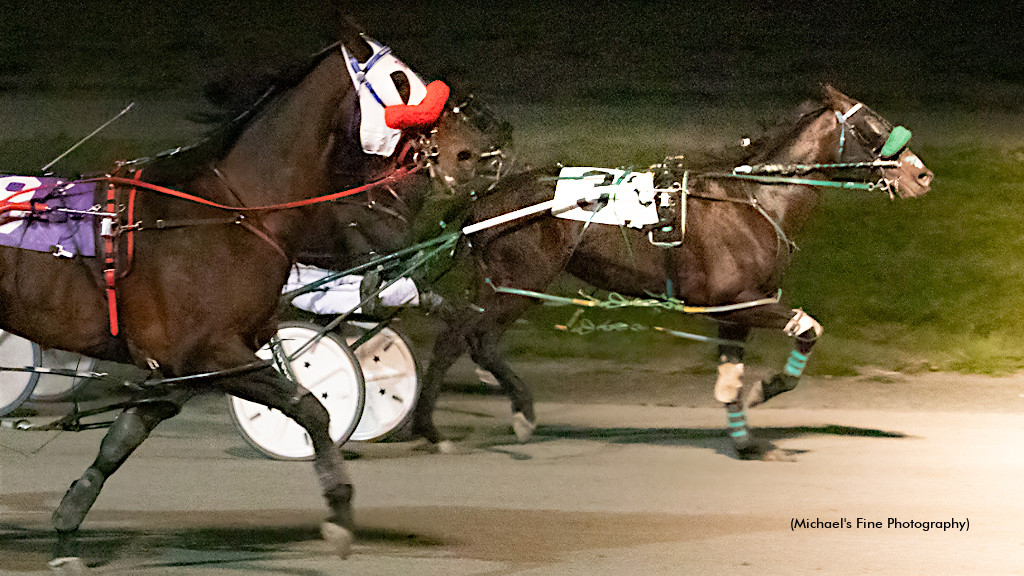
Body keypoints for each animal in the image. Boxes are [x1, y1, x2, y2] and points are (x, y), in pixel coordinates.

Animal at [0, 16, 499, 557]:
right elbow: (309, 406)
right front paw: (339, 509)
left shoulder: (177, 368)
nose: (476, 153)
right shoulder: (210, 352)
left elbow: (123, 437)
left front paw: (69, 522)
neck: (230, 209)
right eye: (401, 81)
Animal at [411, 84, 933, 457]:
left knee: (459, 335)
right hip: (519, 283)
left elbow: (730, 378)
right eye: (871, 127)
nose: (922, 175)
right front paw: (764, 391)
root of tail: (485, 198)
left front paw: (746, 441)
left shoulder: (735, 310)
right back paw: (493, 417)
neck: (757, 201)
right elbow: (807, 330)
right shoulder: (740, 301)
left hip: (499, 283)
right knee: (471, 337)